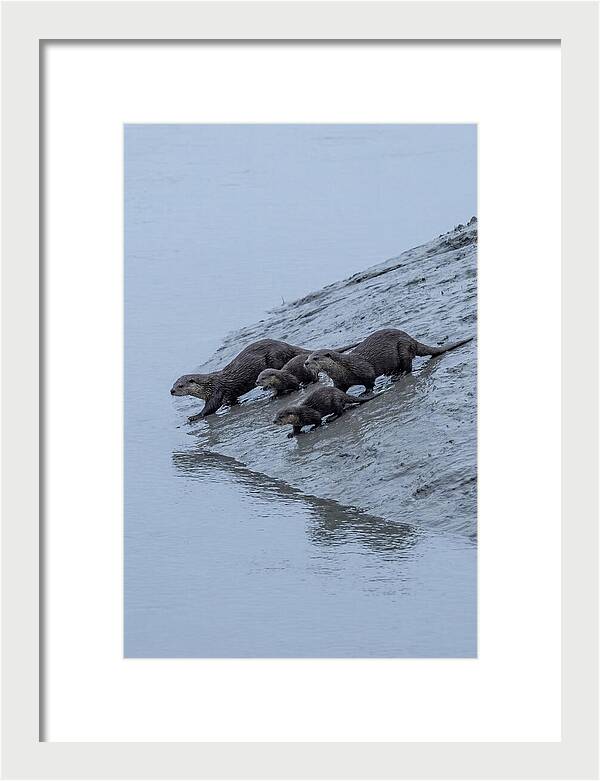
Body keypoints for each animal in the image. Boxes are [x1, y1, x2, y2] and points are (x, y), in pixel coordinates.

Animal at [171, 338, 359, 420]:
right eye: (173, 384)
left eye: (180, 385)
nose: (171, 391)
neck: (208, 385)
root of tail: (284, 344)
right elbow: (232, 399)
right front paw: (230, 405)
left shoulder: (216, 391)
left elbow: (210, 407)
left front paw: (195, 416)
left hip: (275, 357)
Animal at [305, 328, 473, 392]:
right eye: (307, 357)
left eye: (315, 358)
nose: (306, 363)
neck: (344, 369)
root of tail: (411, 339)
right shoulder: (340, 382)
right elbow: (339, 390)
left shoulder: (363, 369)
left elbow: (369, 381)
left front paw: (365, 393)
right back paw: (393, 374)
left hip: (403, 347)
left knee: (408, 366)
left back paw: (400, 375)